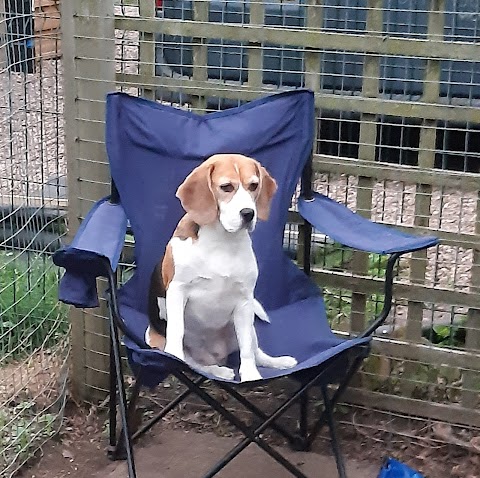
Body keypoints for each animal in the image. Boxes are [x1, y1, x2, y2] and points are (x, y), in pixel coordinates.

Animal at [146, 155, 296, 382]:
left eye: (254, 186)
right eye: (226, 187)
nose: (248, 213)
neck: (223, 240)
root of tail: (215, 355)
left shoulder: (244, 300)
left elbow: (246, 348)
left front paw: (250, 375)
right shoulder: (177, 290)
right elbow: (177, 331)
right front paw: (174, 356)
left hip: (247, 323)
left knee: (255, 351)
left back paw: (275, 362)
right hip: (154, 339)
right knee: (195, 363)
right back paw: (218, 371)